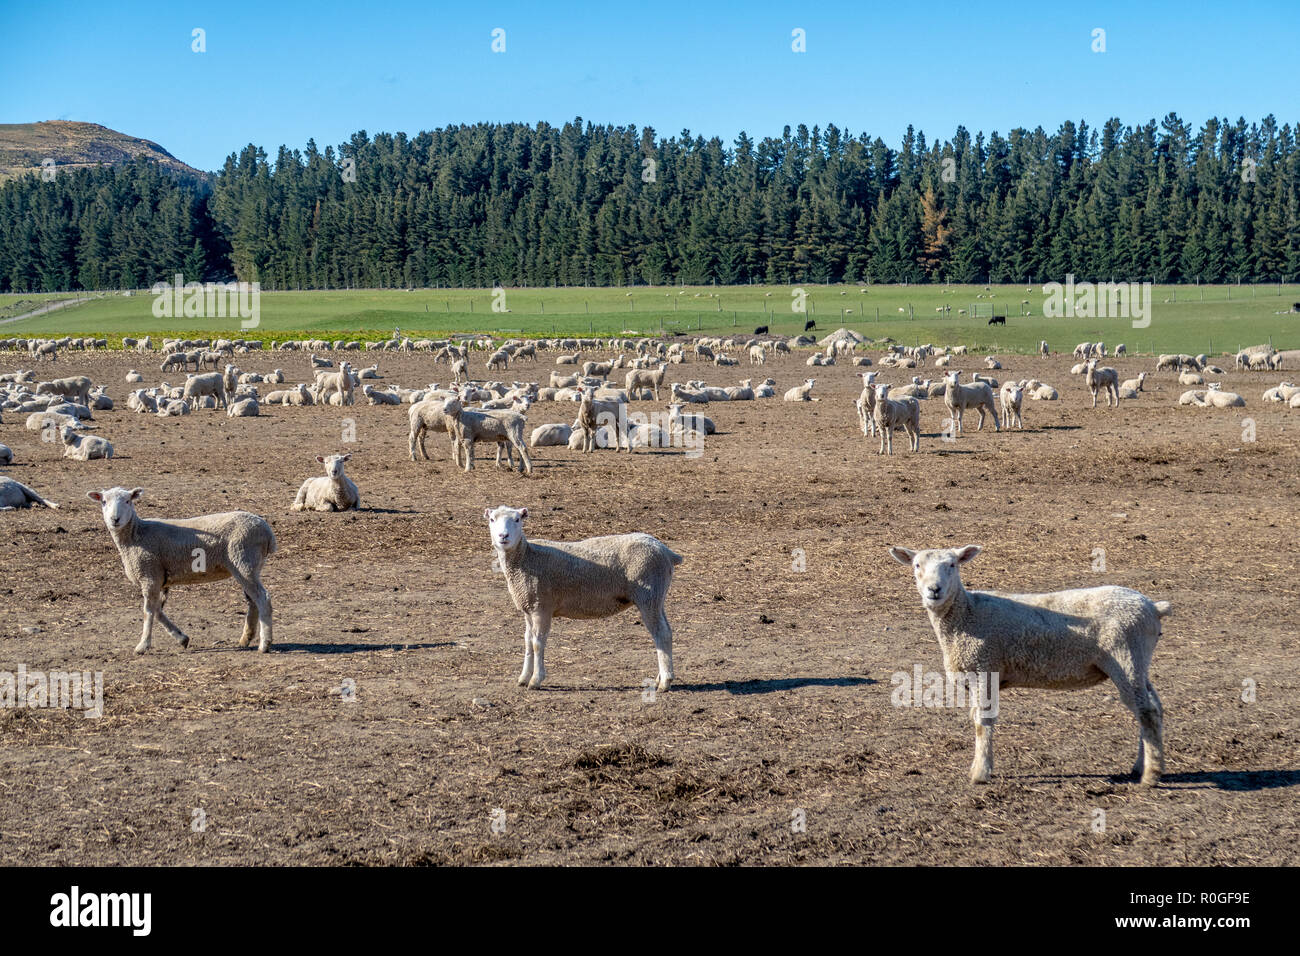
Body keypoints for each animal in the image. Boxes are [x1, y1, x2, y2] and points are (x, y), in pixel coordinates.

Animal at [87, 486, 277, 653]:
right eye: (104, 502)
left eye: (128, 501)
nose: (115, 519)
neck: (136, 533)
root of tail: (267, 531)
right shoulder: (159, 579)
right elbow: (157, 611)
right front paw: (181, 638)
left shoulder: (149, 575)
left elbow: (148, 612)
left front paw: (143, 646)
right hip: (248, 565)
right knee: (252, 601)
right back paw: (246, 639)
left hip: (243, 561)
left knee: (263, 598)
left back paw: (264, 644)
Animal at [484, 505, 683, 691]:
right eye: (492, 519)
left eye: (517, 519)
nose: (503, 536)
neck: (526, 557)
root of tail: (666, 551)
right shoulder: (528, 607)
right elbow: (527, 642)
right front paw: (523, 678)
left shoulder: (542, 607)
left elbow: (538, 644)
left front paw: (535, 680)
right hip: (657, 596)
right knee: (666, 631)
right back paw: (659, 679)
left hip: (648, 595)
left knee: (661, 633)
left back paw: (665, 682)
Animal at [887, 544, 1169, 785]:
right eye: (917, 565)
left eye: (952, 565)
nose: (934, 590)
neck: (967, 613)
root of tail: (1153, 606)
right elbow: (976, 718)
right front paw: (979, 767)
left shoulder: (985, 667)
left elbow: (982, 722)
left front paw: (980, 773)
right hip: (1138, 661)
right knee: (1154, 706)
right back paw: (1141, 766)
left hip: (1126, 657)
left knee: (1146, 711)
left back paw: (1151, 775)